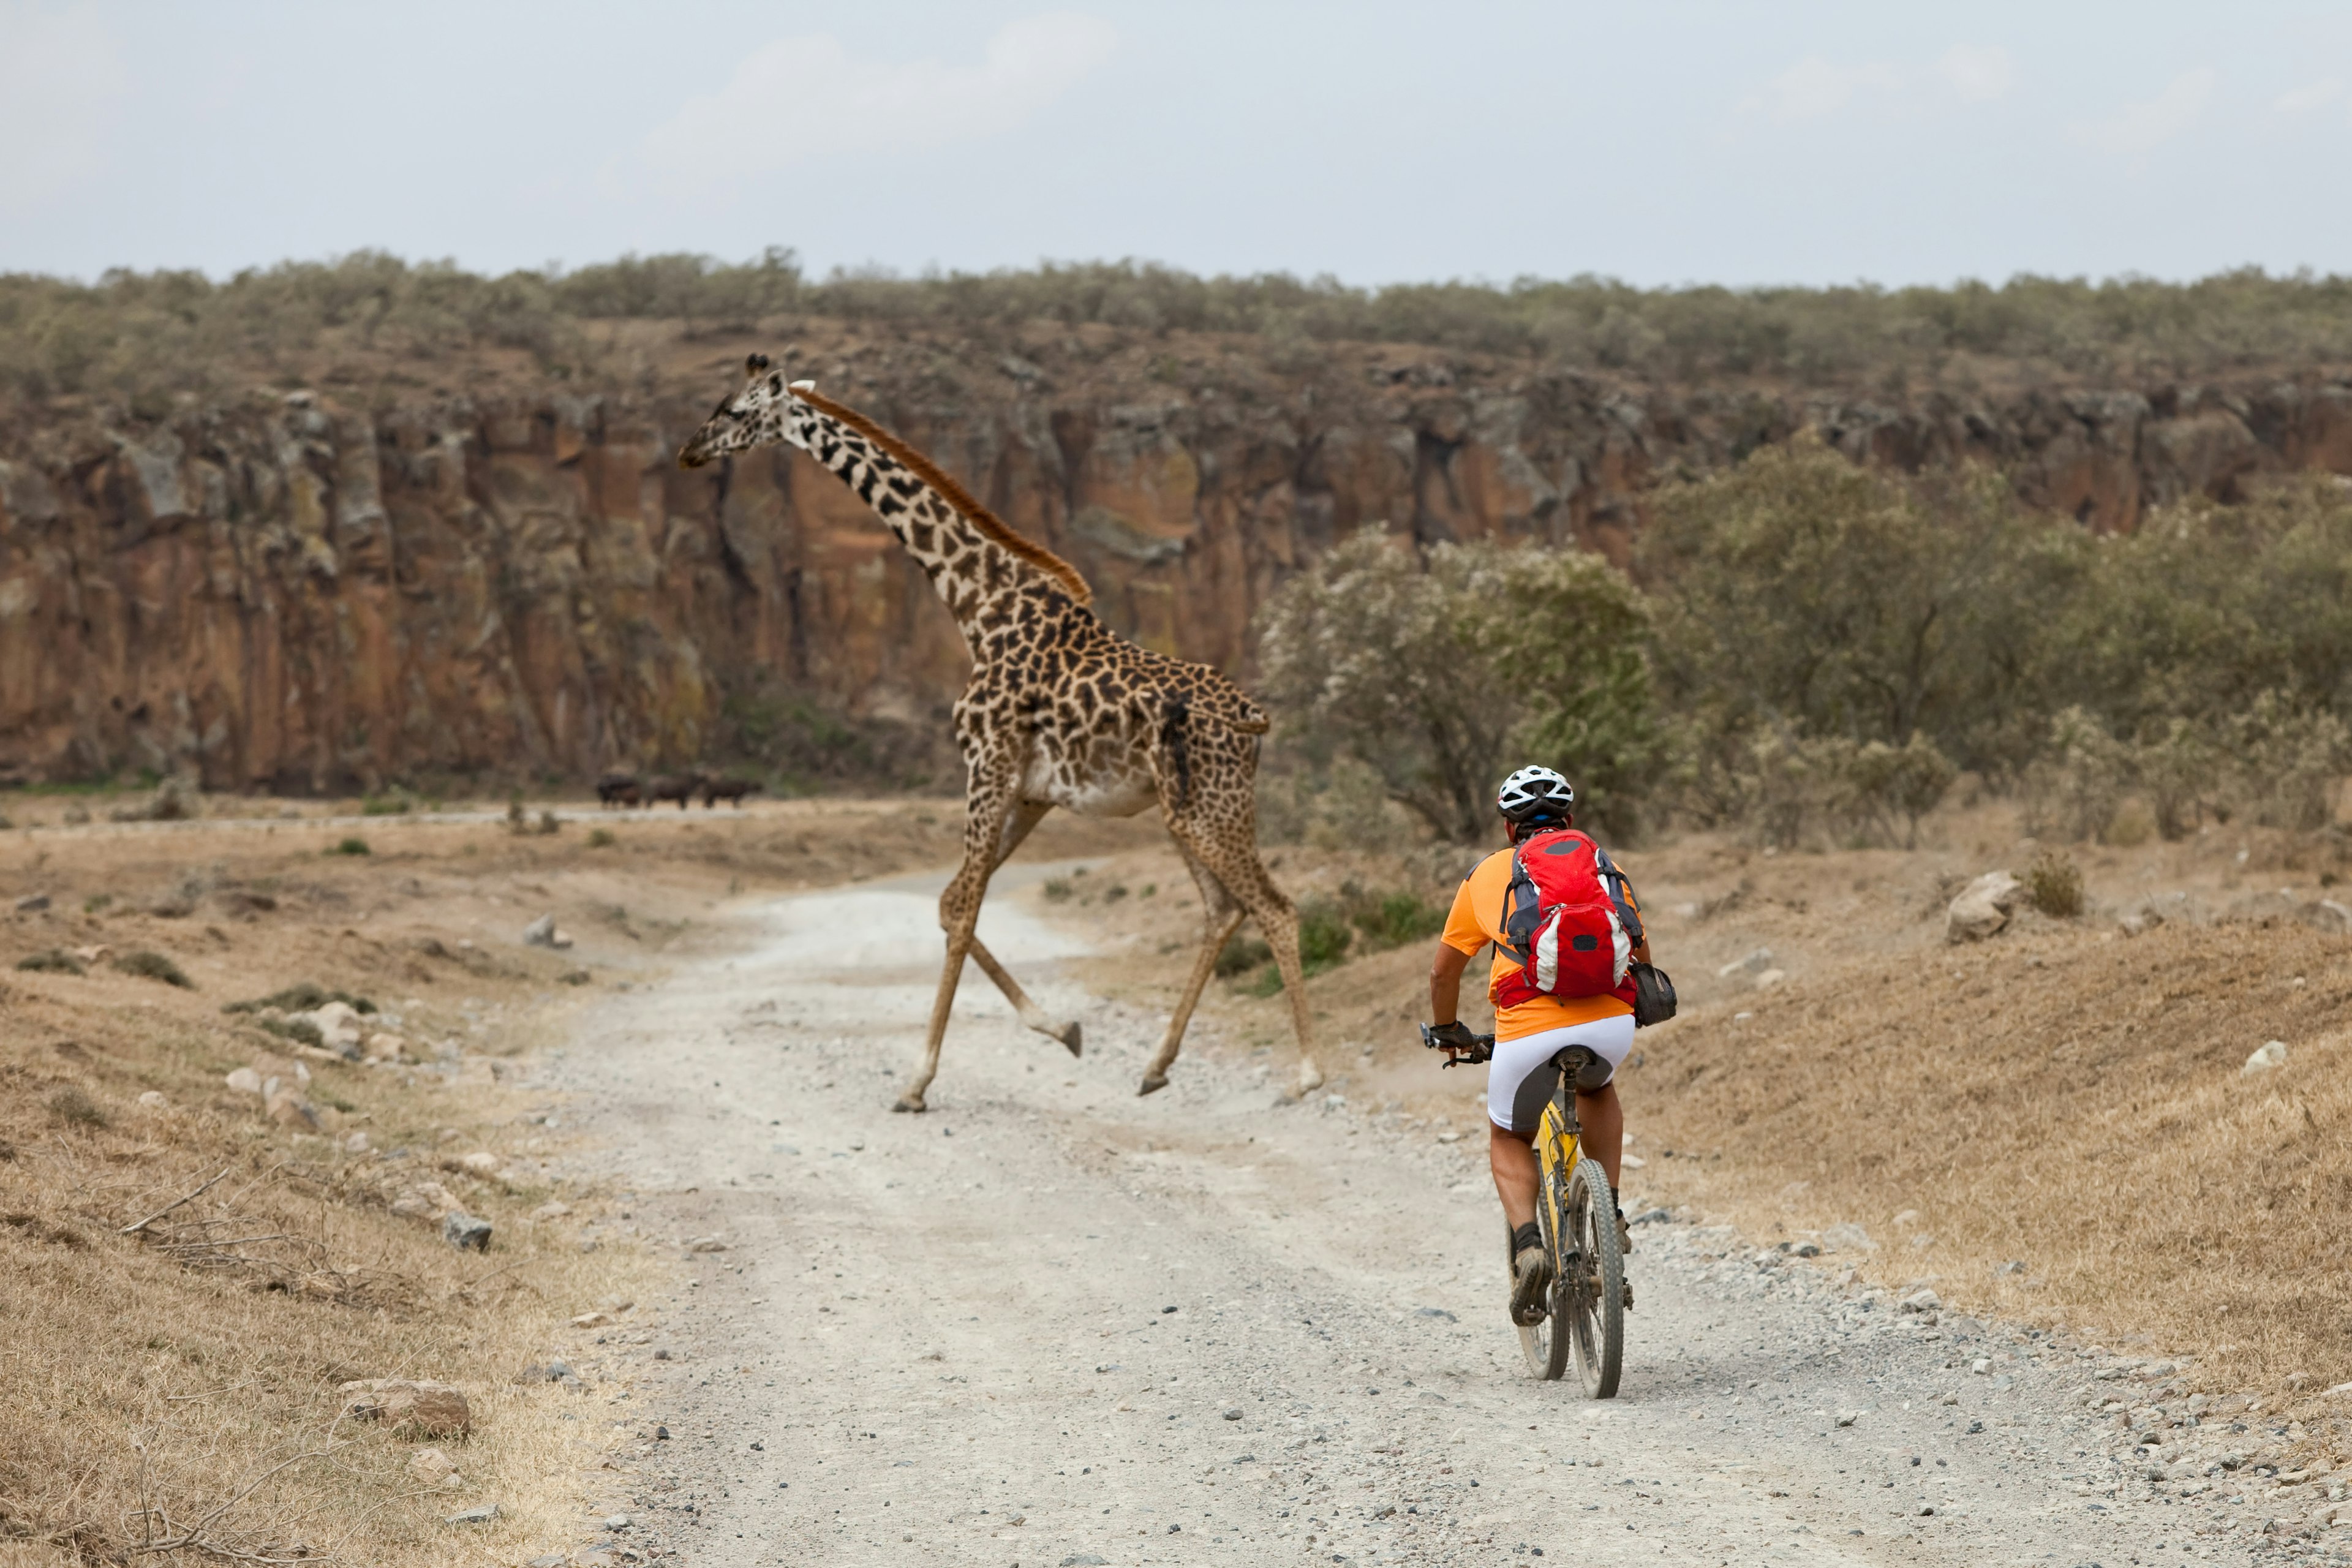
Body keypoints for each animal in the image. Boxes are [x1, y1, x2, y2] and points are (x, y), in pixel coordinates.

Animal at [682, 360, 1326, 1109]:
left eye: (734, 410)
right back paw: (1156, 1065)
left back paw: (1305, 1076)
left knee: (1275, 908)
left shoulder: (986, 767)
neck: (977, 606)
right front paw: (1063, 1028)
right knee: (1224, 910)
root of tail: (1255, 719)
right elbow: (949, 901)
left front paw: (917, 1080)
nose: (688, 450)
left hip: (1211, 809)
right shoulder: (1030, 790)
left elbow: (962, 911)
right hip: (1185, 812)